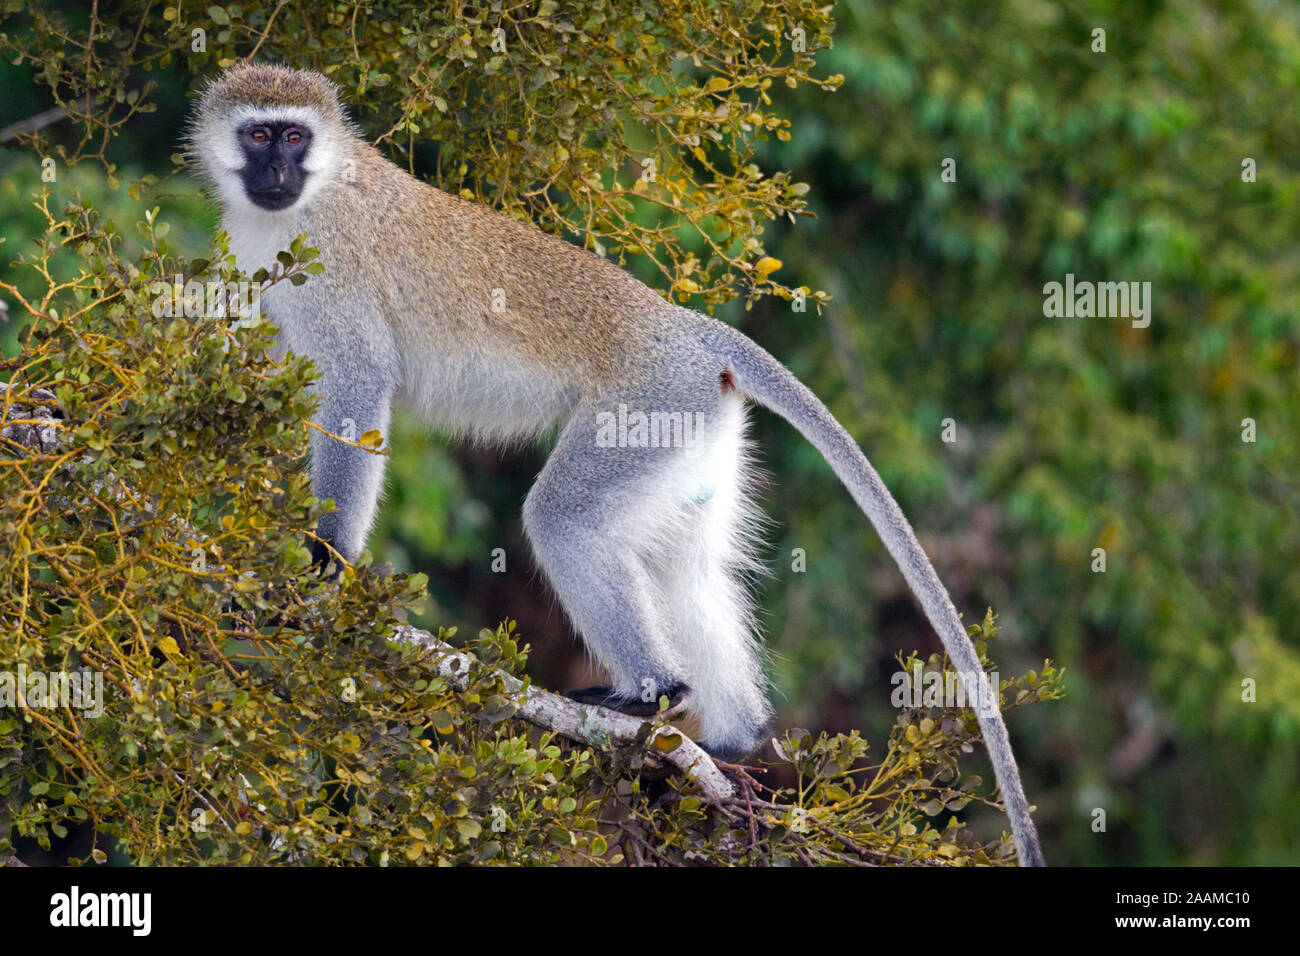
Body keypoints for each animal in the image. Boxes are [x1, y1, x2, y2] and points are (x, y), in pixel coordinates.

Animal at [185, 61, 1045, 868]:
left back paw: (653, 697)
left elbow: (357, 390)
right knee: (687, 568)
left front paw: (322, 564)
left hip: (643, 407)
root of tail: (687, 331)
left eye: (292, 136)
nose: (275, 171)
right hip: (692, 428)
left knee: (563, 520)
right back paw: (733, 742)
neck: (309, 196)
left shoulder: (332, 272)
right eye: (258, 135)